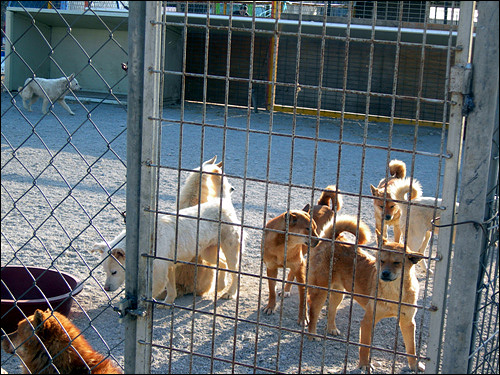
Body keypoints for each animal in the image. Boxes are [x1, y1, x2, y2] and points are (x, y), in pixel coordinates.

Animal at [306, 217, 424, 374]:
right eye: (381, 260)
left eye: (397, 263)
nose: (384, 273)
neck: (392, 293)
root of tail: (333, 237)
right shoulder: (368, 321)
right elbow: (365, 347)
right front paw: (364, 365)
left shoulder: (408, 322)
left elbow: (412, 348)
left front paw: (414, 365)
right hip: (321, 291)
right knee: (313, 311)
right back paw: (312, 334)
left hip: (338, 293)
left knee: (331, 309)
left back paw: (332, 328)